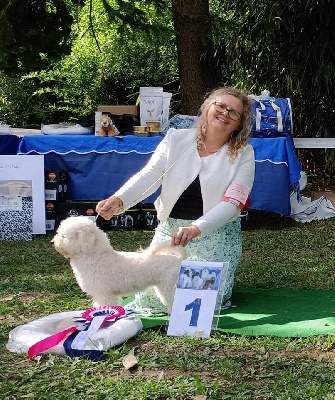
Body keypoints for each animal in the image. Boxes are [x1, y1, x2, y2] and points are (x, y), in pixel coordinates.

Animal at [52, 216, 186, 312]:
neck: (95, 256)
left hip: (169, 288)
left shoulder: (104, 294)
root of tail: (179, 259)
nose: (52, 242)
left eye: (64, 236)